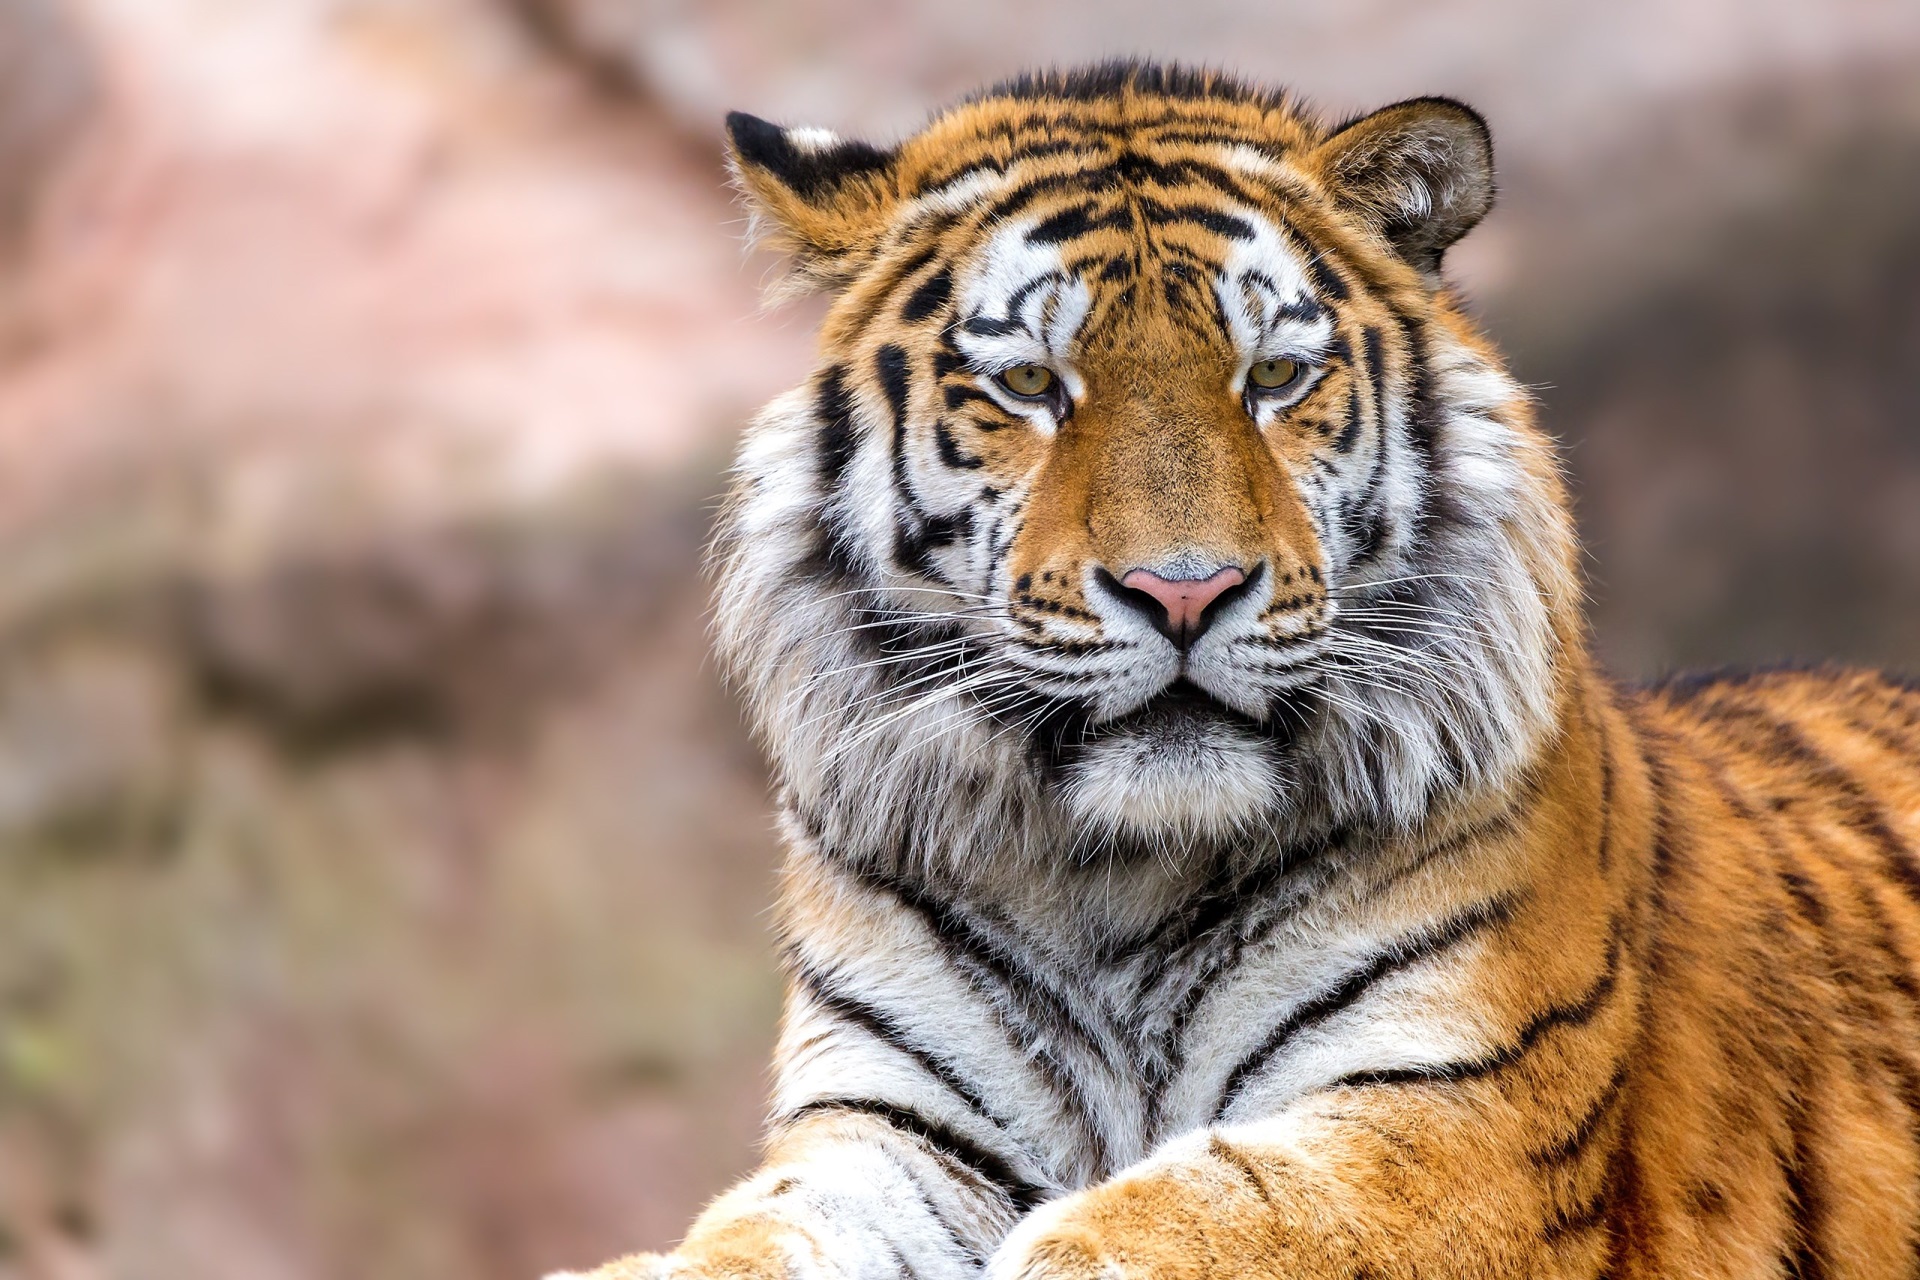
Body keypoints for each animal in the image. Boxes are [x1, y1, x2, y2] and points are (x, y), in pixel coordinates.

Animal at [553, 61, 1920, 1280]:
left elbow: (1171, 1220)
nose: (1184, 591)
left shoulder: (1457, 1116)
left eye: (1273, 376)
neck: (1117, 879)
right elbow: (756, 1233)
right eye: (1032, 384)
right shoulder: (891, 1128)